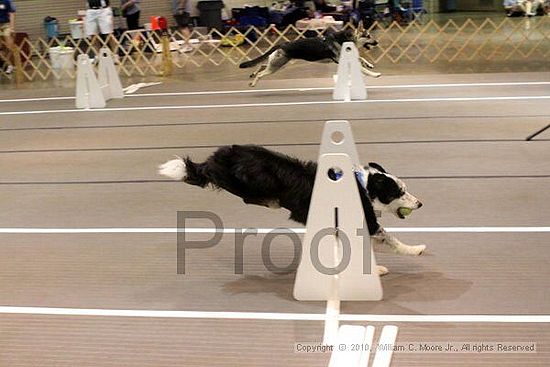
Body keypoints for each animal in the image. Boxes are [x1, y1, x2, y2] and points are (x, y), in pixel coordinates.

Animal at [160, 145, 426, 274]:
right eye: (399, 192)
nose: (420, 204)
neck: (364, 186)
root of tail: (216, 157)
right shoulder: (367, 223)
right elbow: (390, 239)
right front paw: (415, 250)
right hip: (250, 180)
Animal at [239, 25, 382, 87]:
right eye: (368, 36)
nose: (377, 42)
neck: (346, 39)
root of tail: (283, 44)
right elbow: (363, 69)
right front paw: (374, 74)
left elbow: (361, 59)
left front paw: (369, 64)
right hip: (277, 66)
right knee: (261, 73)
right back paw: (254, 82)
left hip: (280, 64)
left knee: (263, 65)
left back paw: (253, 74)